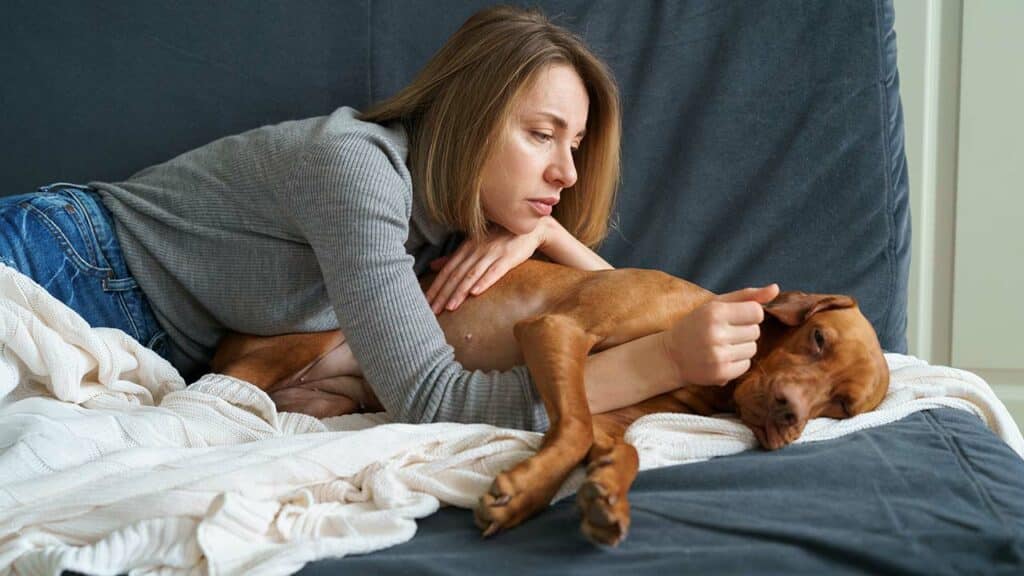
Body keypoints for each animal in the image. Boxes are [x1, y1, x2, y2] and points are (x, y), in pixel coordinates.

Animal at [214, 259, 888, 541]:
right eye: (818, 339)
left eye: (842, 407)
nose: (790, 416)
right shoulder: (556, 331)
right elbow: (573, 429)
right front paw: (524, 493)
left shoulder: (615, 416)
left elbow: (619, 448)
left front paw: (605, 494)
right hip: (296, 341)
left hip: (330, 397)